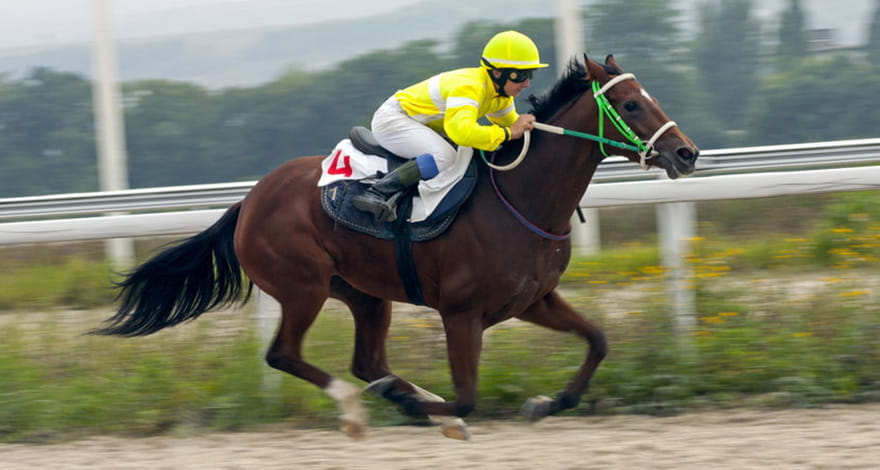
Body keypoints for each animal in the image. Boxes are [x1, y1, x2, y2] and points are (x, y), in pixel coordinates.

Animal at [94, 55, 700, 440]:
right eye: (631, 103)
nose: (687, 154)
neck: (521, 199)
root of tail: (248, 201)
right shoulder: (462, 312)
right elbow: (466, 395)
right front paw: (433, 409)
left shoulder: (533, 300)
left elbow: (597, 341)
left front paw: (544, 402)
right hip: (303, 286)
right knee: (285, 354)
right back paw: (361, 410)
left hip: (364, 293)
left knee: (367, 361)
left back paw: (399, 396)